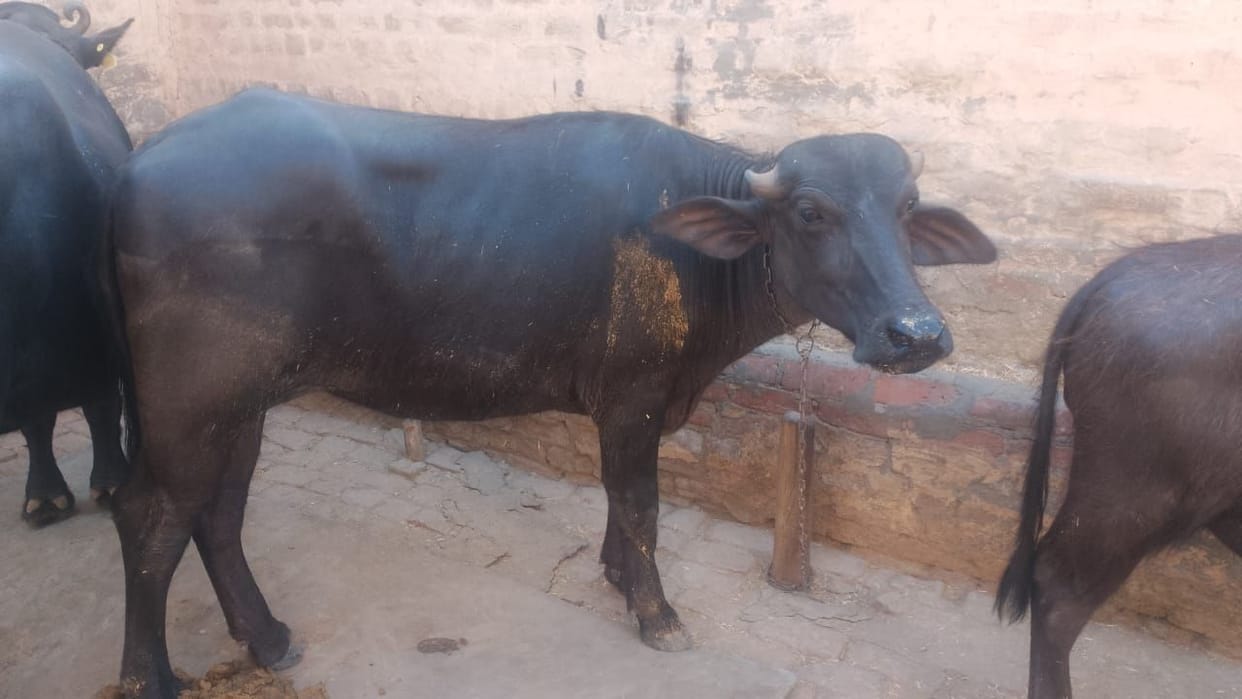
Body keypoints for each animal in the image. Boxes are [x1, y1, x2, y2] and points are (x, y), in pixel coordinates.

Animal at [105, 88, 996, 697]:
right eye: (812, 211)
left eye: (908, 208)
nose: (916, 334)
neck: (694, 254)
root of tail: (141, 163)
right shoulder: (635, 397)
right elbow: (641, 503)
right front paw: (657, 614)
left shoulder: (627, 406)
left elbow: (617, 502)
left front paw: (617, 577)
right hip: (189, 403)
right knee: (151, 517)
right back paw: (151, 675)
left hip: (240, 404)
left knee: (216, 517)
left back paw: (266, 636)